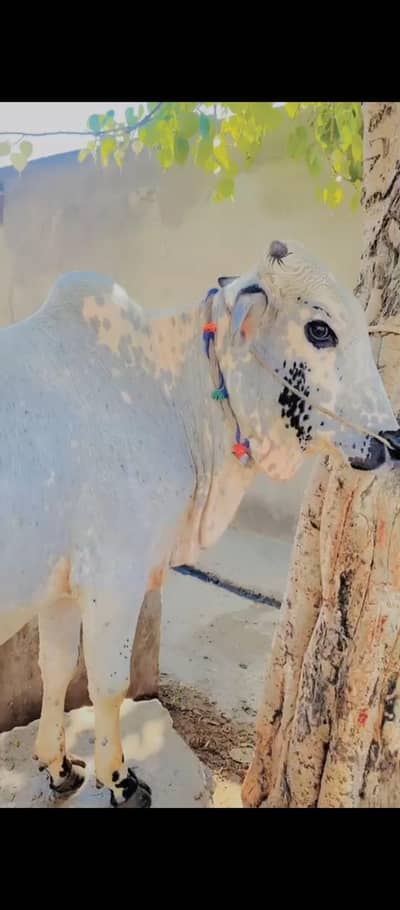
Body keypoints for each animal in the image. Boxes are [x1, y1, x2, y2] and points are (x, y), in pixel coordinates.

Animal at [1, 239, 399, 807]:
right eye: (320, 329)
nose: (392, 440)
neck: (166, 393)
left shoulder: (61, 587)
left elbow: (54, 670)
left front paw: (58, 766)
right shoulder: (114, 578)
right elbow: (109, 684)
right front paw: (120, 780)